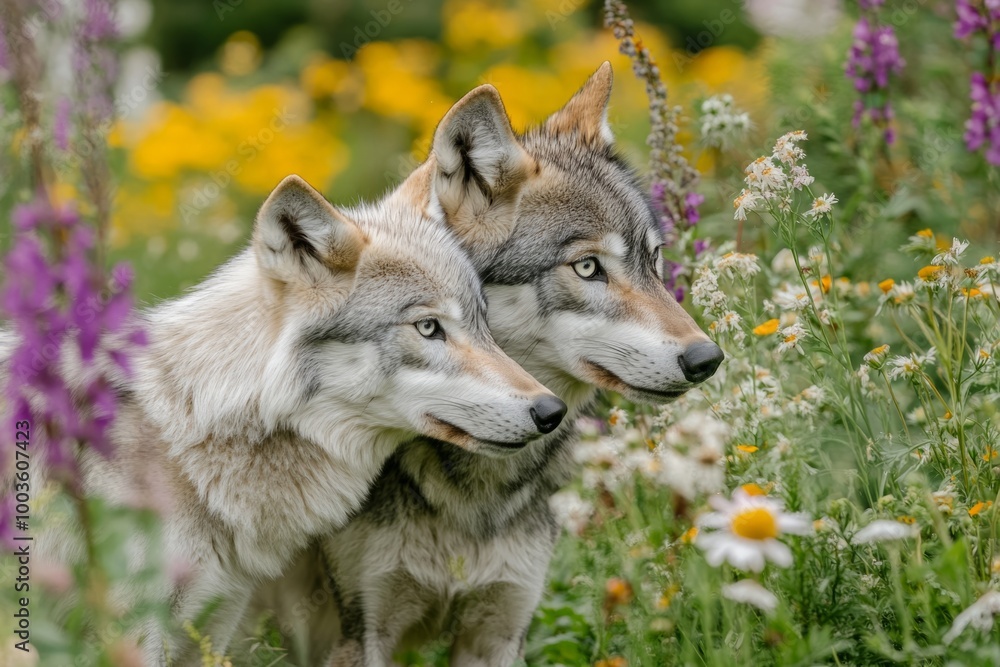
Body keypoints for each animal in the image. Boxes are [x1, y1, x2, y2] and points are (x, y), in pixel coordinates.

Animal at [1, 174, 565, 665]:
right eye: (428, 328)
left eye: (483, 324)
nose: (551, 411)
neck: (190, 433)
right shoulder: (134, 633)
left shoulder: (211, 626)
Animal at [247, 63, 724, 667]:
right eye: (587, 267)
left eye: (654, 261)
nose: (708, 358)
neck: (475, 492)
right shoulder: (360, 632)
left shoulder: (498, 629)